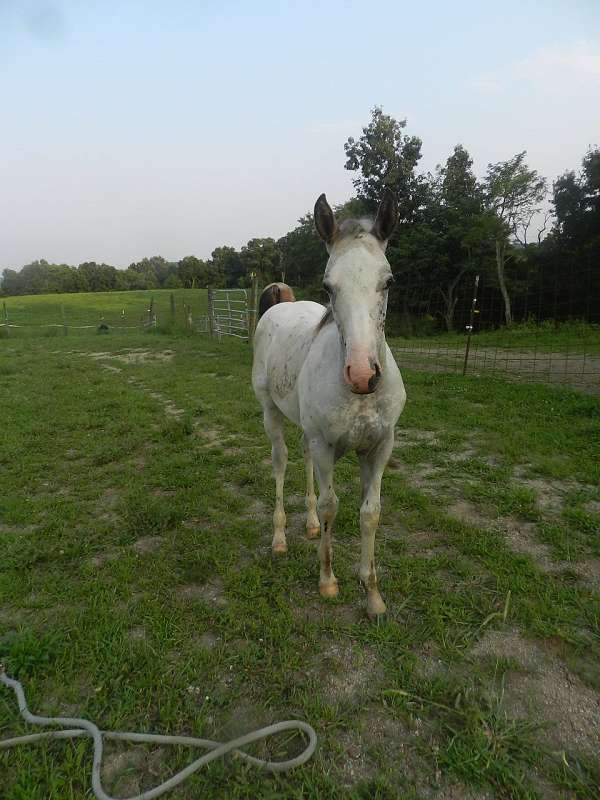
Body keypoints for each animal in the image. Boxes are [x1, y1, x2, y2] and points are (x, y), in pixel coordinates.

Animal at [252, 191, 406, 618]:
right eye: (328, 286)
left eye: (389, 281)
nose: (362, 374)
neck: (358, 397)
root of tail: (278, 305)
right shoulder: (326, 446)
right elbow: (331, 506)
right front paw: (327, 581)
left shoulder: (380, 447)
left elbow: (370, 513)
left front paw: (372, 595)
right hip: (271, 412)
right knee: (282, 461)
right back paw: (280, 538)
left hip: (307, 429)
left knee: (302, 458)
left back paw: (307, 526)